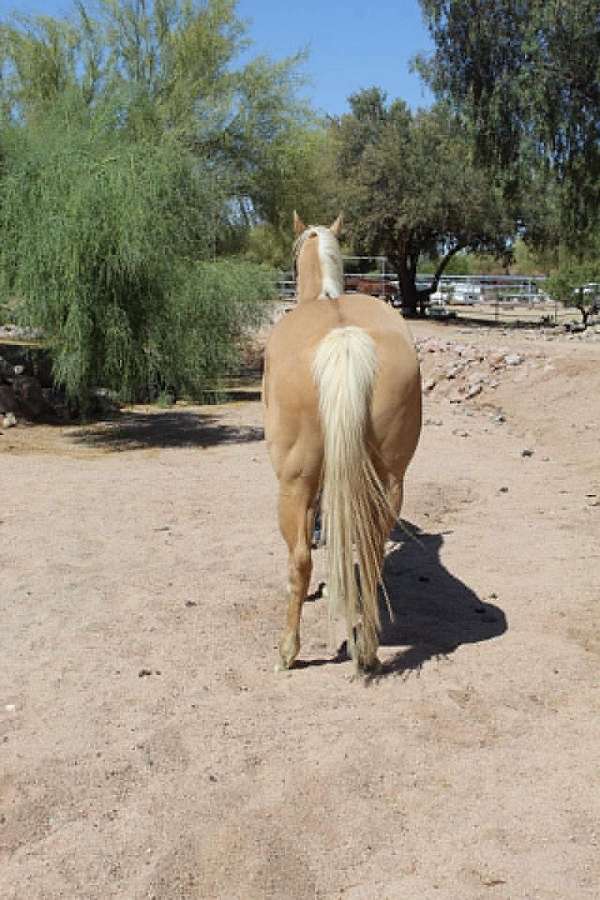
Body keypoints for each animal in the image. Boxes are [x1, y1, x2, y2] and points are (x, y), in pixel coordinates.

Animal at [262, 213, 422, 673]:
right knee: (369, 550)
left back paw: (288, 651)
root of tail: (344, 338)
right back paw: (366, 649)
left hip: (293, 482)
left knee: (299, 559)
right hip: (390, 479)